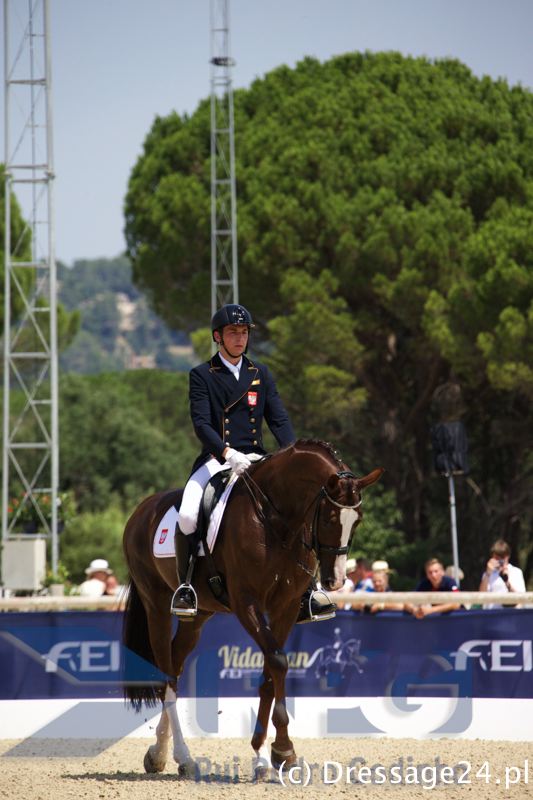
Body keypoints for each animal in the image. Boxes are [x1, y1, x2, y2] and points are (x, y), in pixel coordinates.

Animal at [122, 439, 383, 778]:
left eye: (358, 519)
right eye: (328, 518)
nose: (335, 580)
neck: (277, 519)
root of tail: (142, 510)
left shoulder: (285, 607)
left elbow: (272, 670)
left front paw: (270, 752)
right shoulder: (247, 602)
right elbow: (277, 661)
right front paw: (279, 750)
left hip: (197, 617)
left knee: (175, 669)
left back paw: (161, 754)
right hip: (156, 606)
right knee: (166, 673)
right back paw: (184, 756)